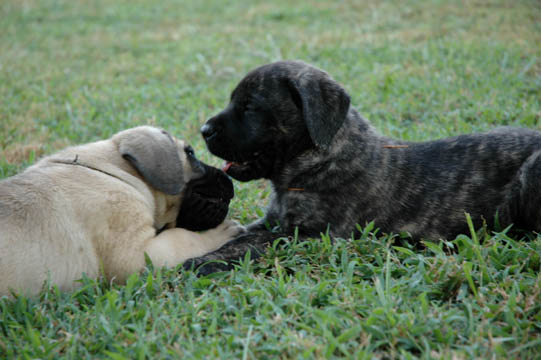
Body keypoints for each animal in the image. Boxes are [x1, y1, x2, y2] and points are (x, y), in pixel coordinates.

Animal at [182, 60, 540, 274]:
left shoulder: (314, 236)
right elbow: (244, 233)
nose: (204, 130)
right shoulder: (273, 222)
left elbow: (255, 244)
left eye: (250, 107)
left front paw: (200, 261)